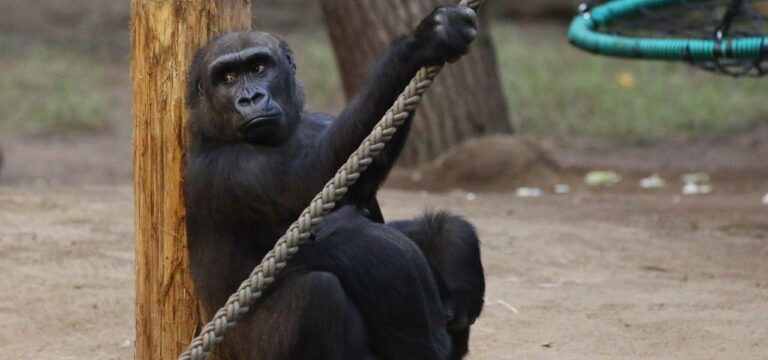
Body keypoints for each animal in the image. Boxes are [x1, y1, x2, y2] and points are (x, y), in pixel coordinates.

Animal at [185, 5, 484, 360]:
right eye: (227, 78)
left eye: (258, 67)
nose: (250, 98)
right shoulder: (227, 169)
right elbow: (312, 179)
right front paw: (418, 45)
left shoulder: (321, 123)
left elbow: (362, 191)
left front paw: (454, 245)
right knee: (318, 294)